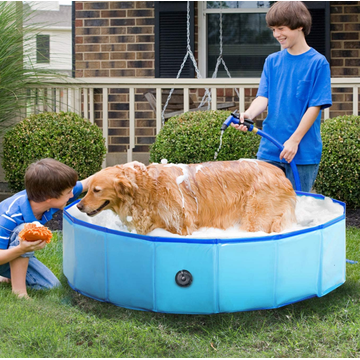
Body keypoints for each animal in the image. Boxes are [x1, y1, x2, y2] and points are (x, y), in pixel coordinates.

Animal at [76, 161, 296, 236]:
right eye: (88, 189)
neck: (147, 189)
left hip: (255, 217)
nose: (78, 206)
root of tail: (281, 174)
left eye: (96, 190)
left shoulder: (181, 226)